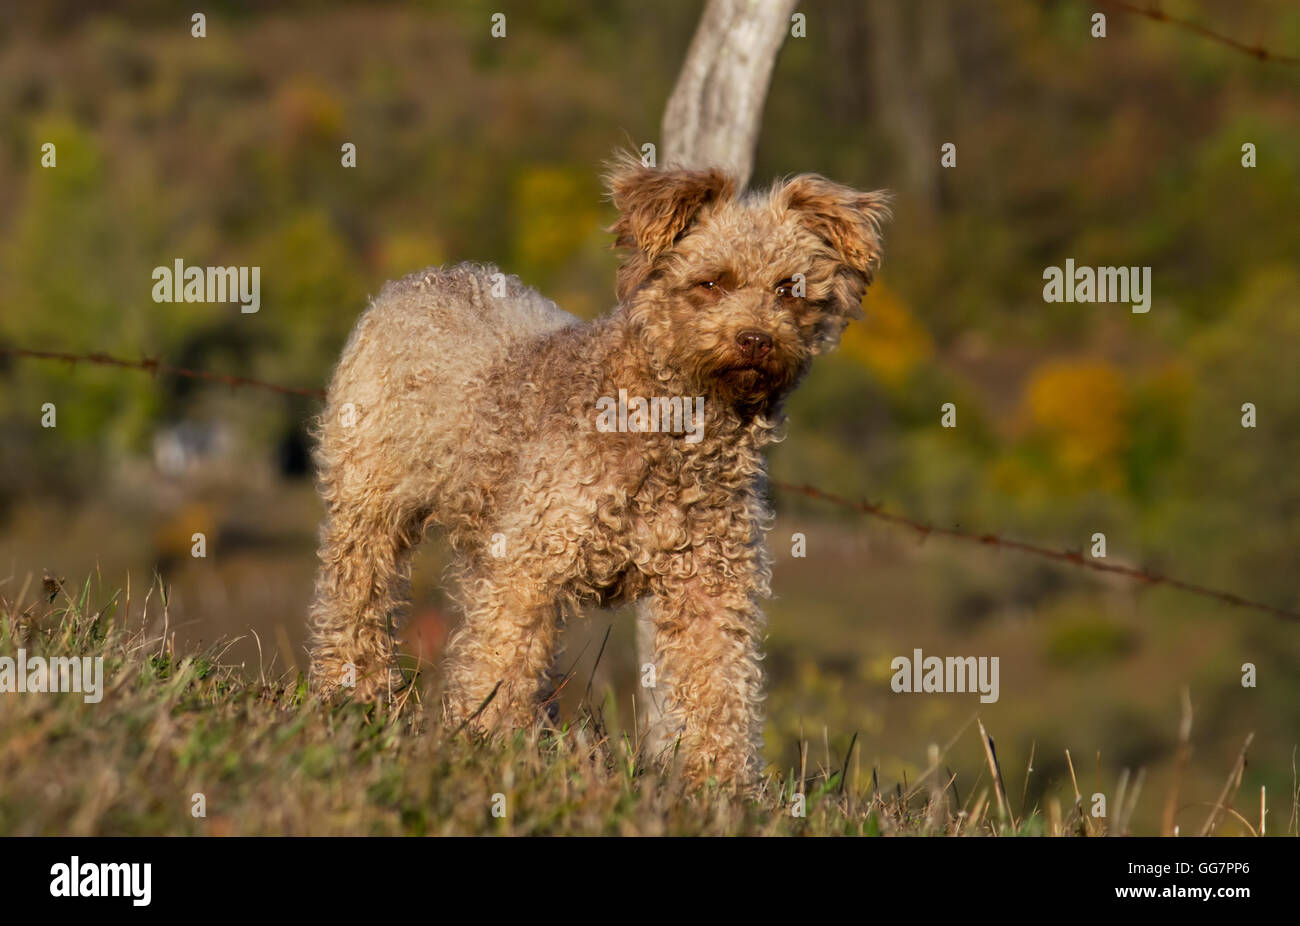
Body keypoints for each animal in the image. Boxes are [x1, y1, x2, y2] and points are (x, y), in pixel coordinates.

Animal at [309, 157, 889, 790]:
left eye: (790, 290)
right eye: (710, 283)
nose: (756, 340)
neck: (674, 430)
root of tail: (425, 278)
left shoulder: (714, 583)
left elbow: (722, 687)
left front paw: (723, 788)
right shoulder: (530, 564)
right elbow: (501, 660)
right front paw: (488, 752)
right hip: (370, 504)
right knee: (356, 600)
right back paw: (351, 696)